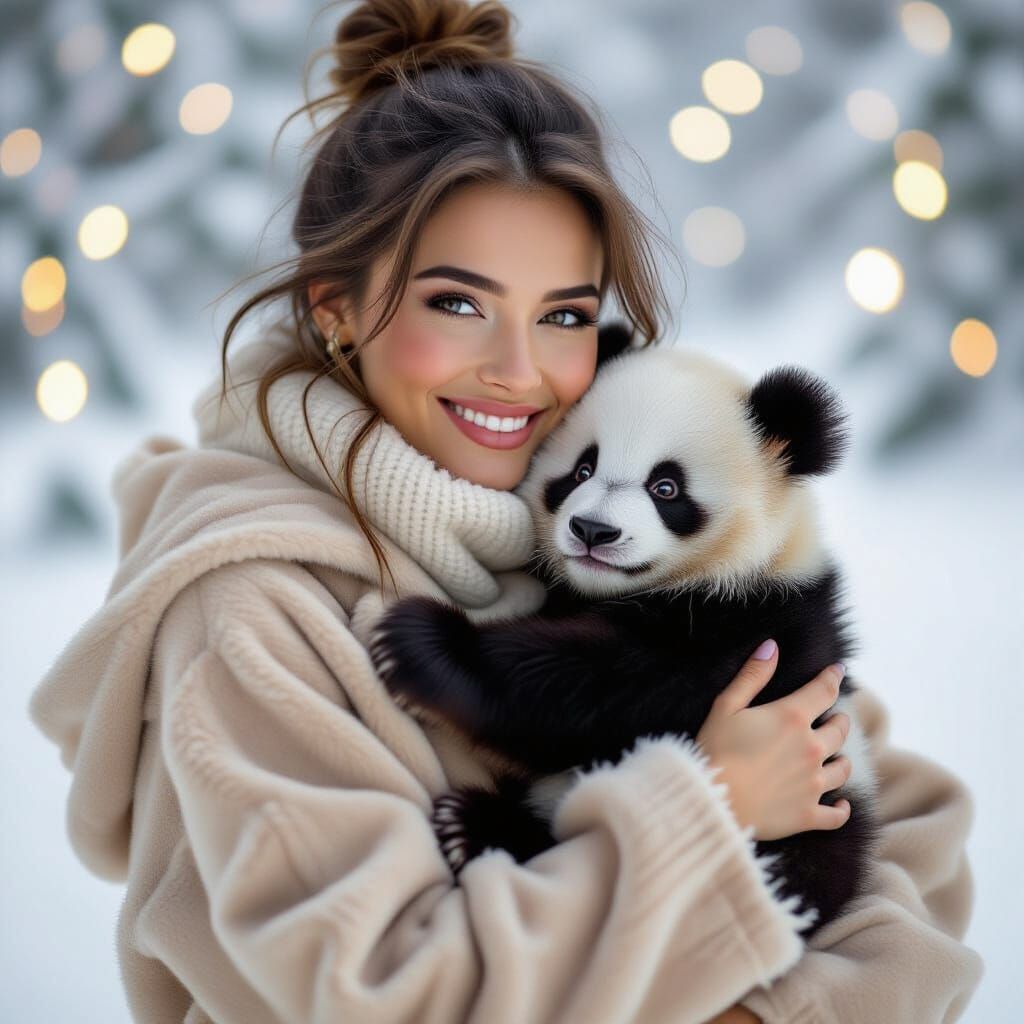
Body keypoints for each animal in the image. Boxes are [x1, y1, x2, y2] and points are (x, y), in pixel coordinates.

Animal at [369, 324, 882, 940]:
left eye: (666, 488)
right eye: (582, 471)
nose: (593, 530)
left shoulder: (761, 628)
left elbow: (615, 686)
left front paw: (421, 645)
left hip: (820, 822)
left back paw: (473, 828)